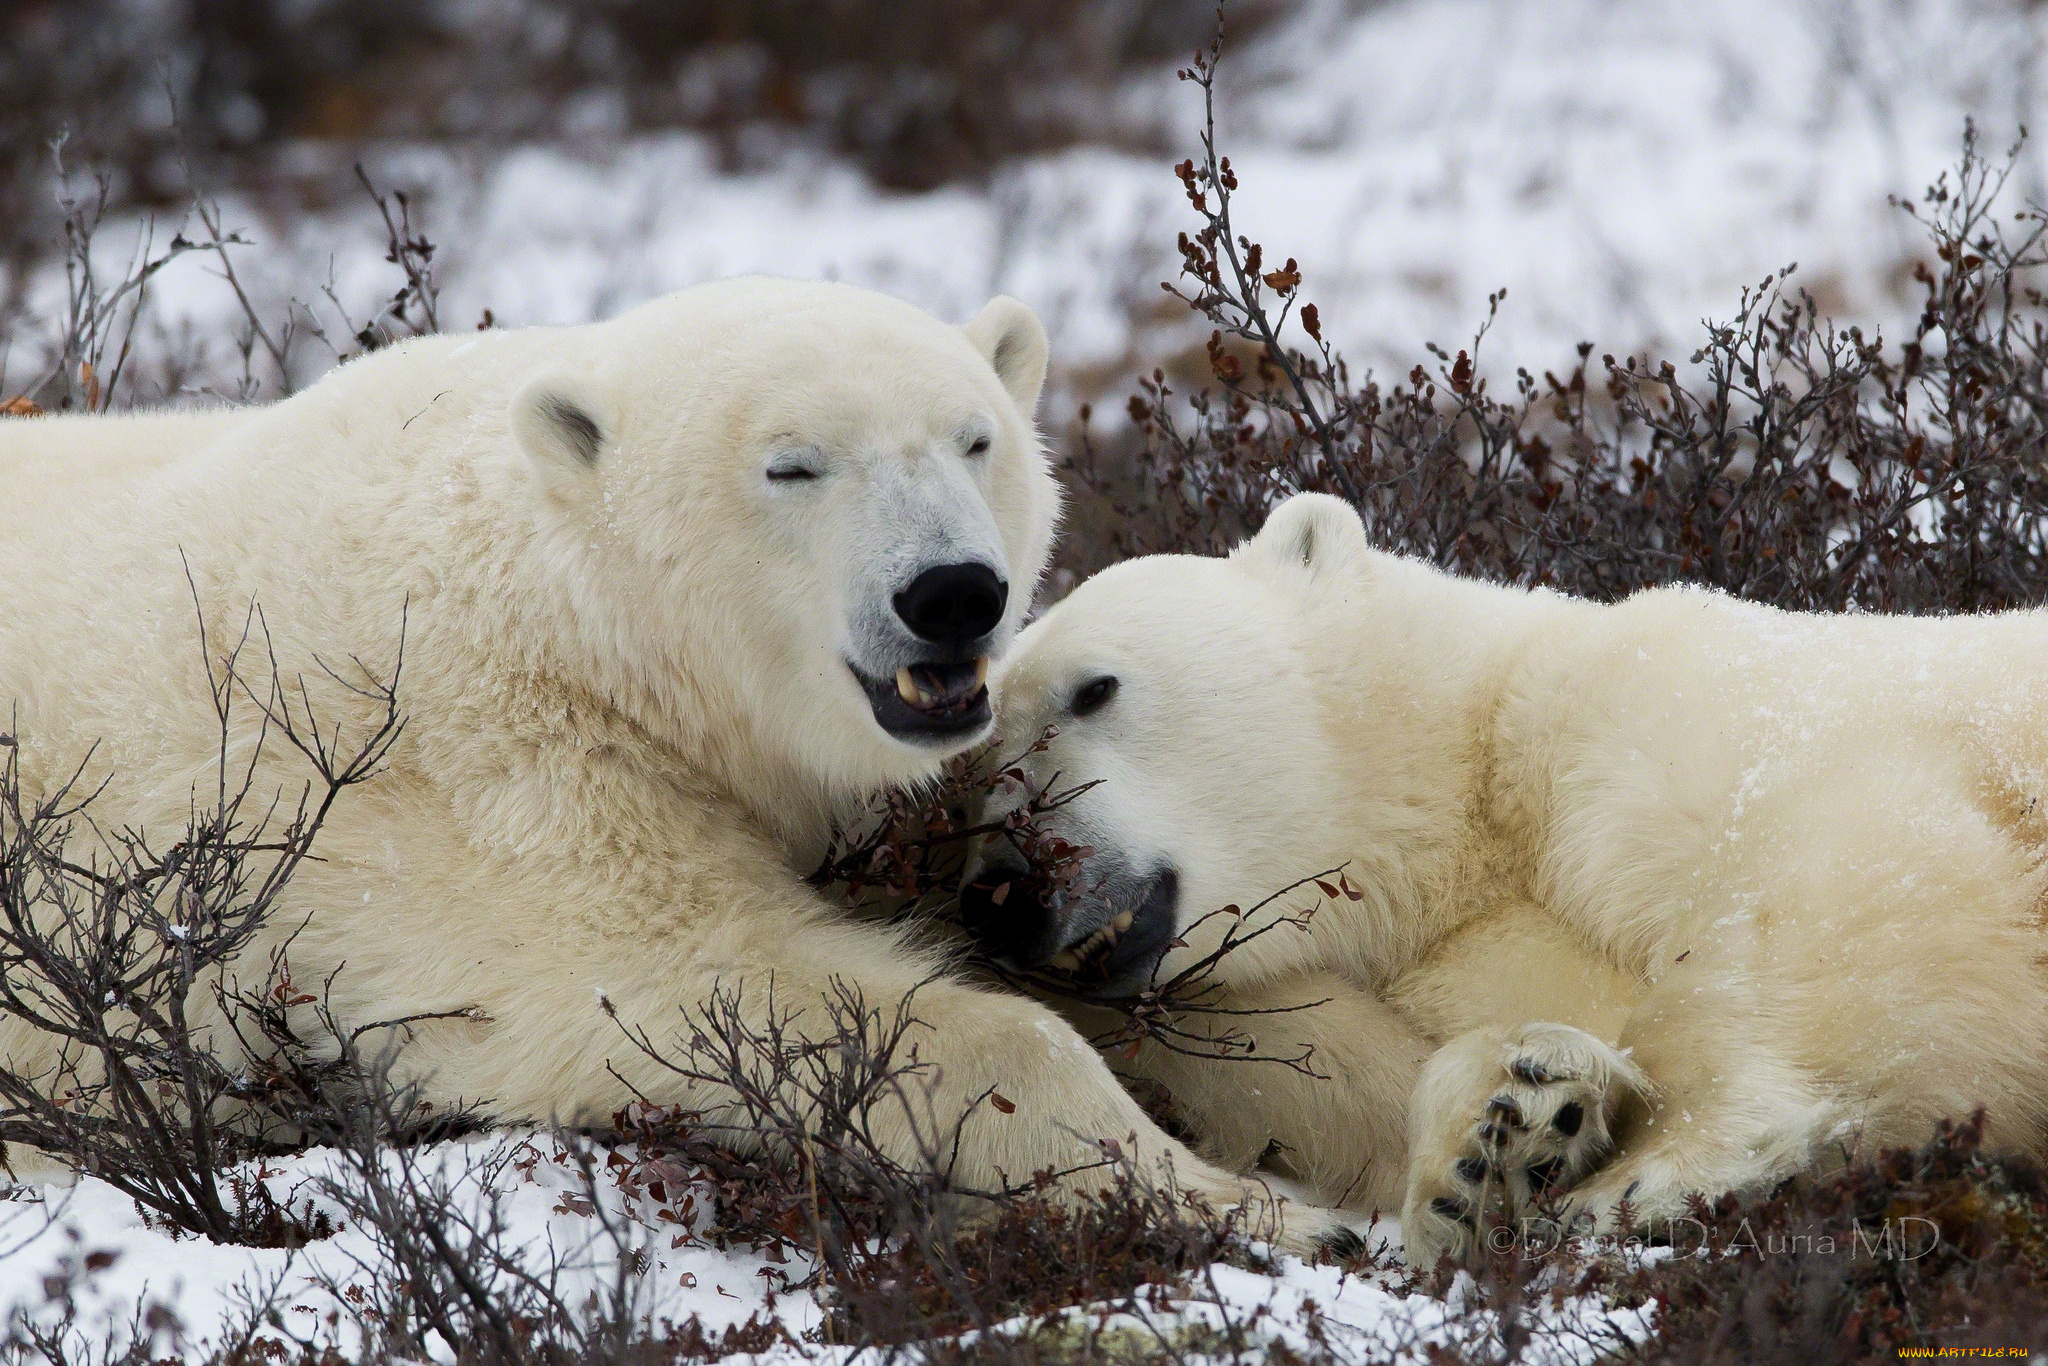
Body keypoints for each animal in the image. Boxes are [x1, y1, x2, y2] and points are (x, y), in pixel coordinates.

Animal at [0, 282, 1351, 1253]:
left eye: (976, 439)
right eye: (792, 464)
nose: (953, 593)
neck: (558, 599)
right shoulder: (471, 784)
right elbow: (696, 985)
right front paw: (1270, 1209)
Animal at [966, 491, 2048, 1269]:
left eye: (1091, 689)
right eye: (981, 769)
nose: (1000, 895)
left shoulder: (1674, 708)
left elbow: (1848, 873)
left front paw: (1646, 1171)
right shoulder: (1468, 948)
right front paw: (1503, 1146)